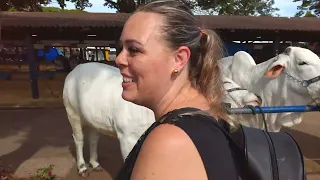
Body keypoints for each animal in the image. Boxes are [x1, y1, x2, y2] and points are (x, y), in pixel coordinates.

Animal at [63, 61, 262, 176]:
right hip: (72, 112)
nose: (255, 98)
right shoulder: (127, 137)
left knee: (93, 137)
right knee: (79, 139)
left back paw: (95, 163)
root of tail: (75, 71)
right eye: (221, 83)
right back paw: (82, 167)